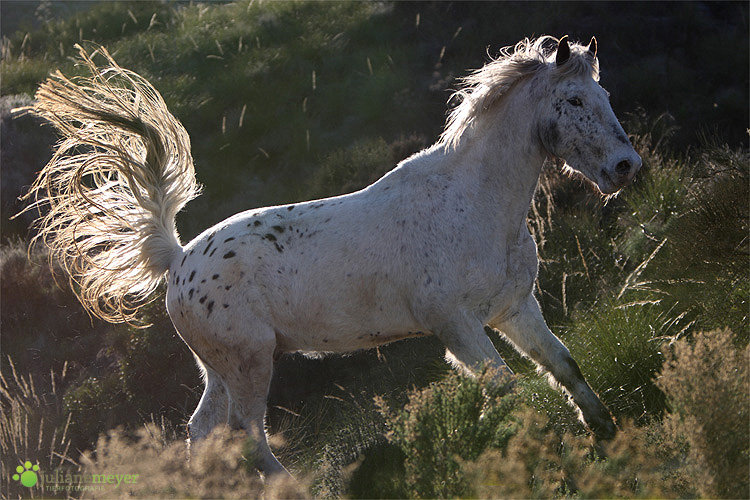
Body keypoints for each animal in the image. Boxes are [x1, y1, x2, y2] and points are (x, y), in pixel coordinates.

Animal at [26, 36, 644, 476]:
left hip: (220, 370)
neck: (472, 202)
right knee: (249, 436)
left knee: (203, 433)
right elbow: (508, 389)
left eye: (607, 97)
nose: (625, 167)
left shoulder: (514, 308)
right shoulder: (456, 325)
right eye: (573, 100)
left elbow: (562, 366)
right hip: (249, 364)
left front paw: (608, 431)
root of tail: (178, 262)